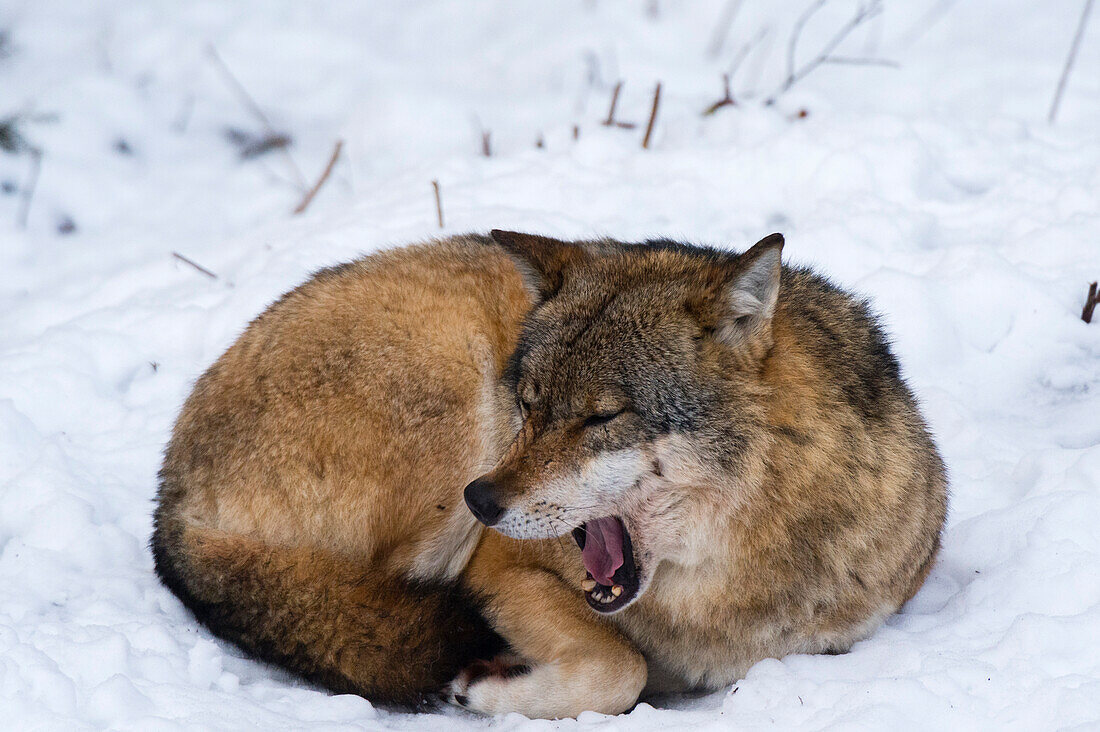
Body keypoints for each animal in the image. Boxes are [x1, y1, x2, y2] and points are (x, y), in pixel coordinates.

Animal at [150, 231, 950, 717]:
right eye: (528, 404)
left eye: (601, 417)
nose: (483, 499)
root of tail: (169, 499)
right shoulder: (500, 567)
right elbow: (620, 668)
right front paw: (487, 692)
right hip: (452, 408)